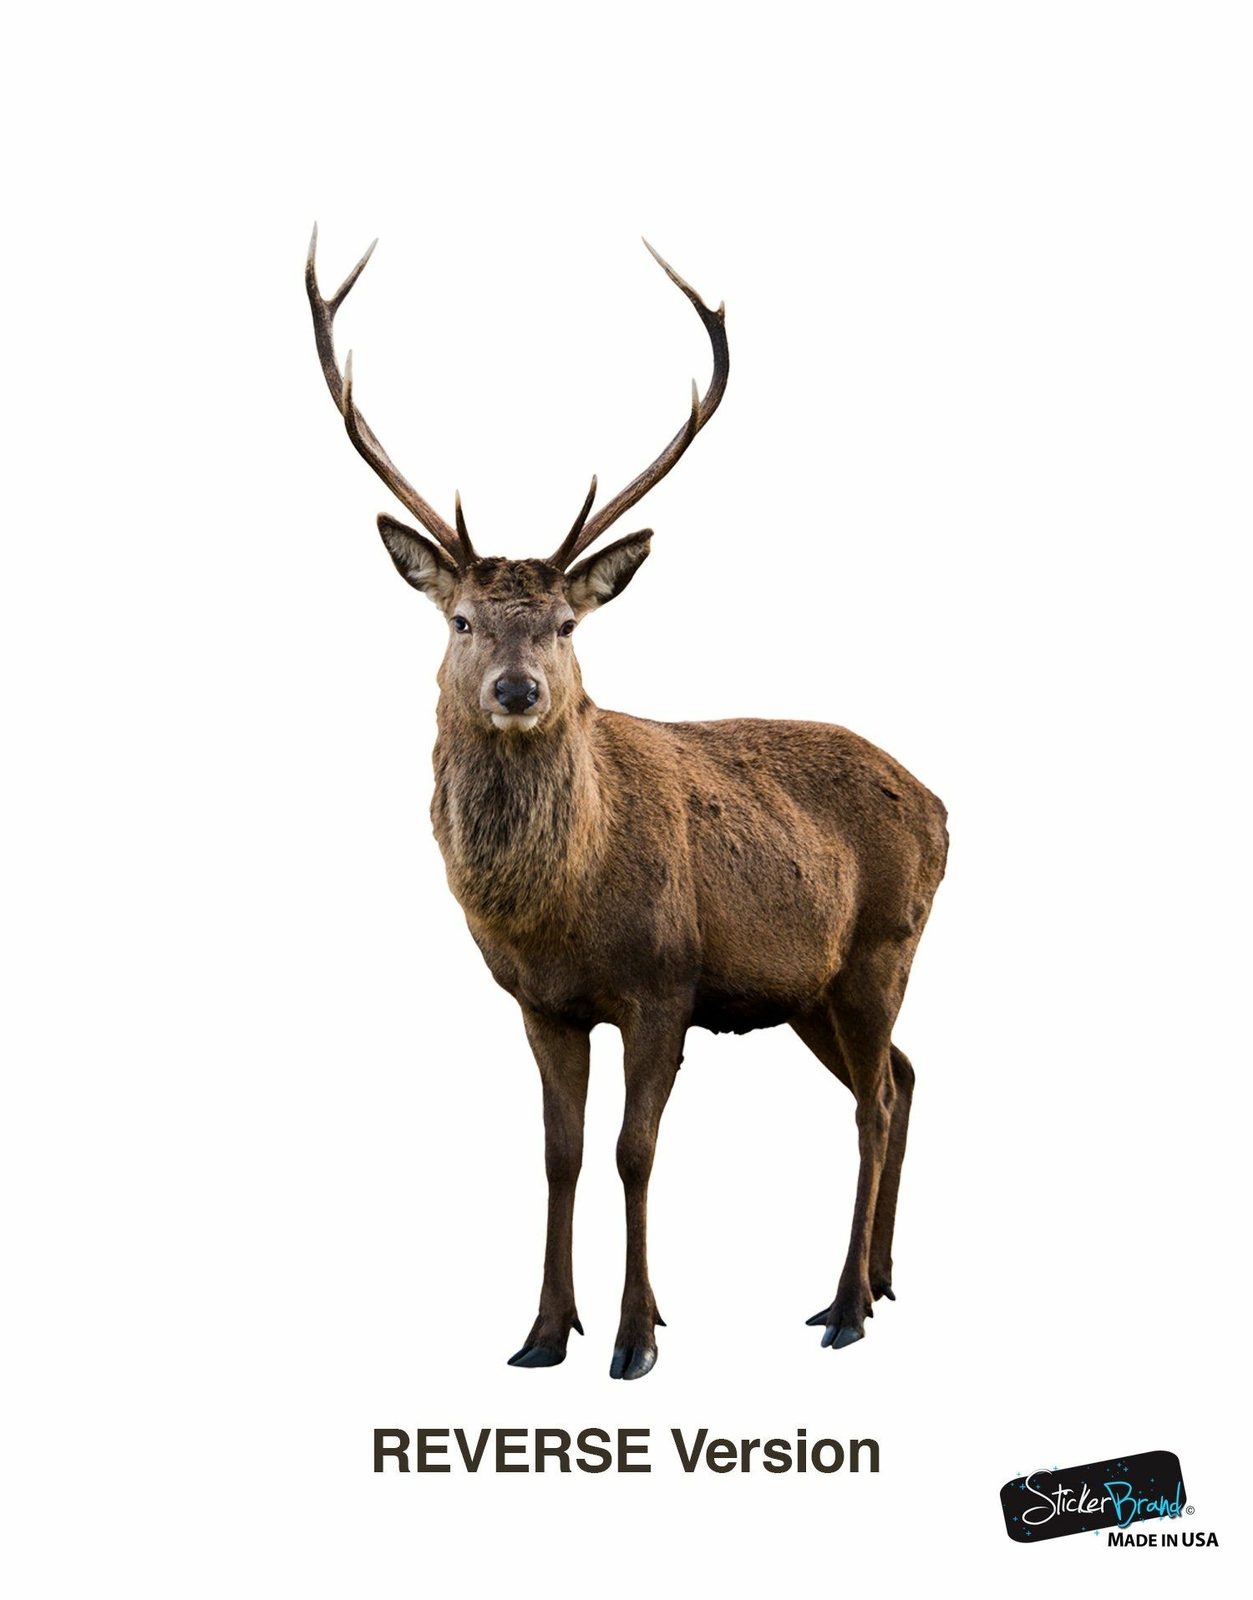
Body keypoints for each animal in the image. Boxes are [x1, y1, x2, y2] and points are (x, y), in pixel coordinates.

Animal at [306, 226, 948, 1380]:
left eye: (565, 625)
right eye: (462, 619)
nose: (518, 691)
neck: (562, 912)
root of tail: (943, 805)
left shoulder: (665, 983)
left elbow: (632, 1151)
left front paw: (636, 1335)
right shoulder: (539, 1003)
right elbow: (559, 1153)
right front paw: (540, 1332)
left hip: (884, 945)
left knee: (875, 1100)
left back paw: (842, 1306)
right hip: (810, 988)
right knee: (906, 1078)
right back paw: (878, 1279)